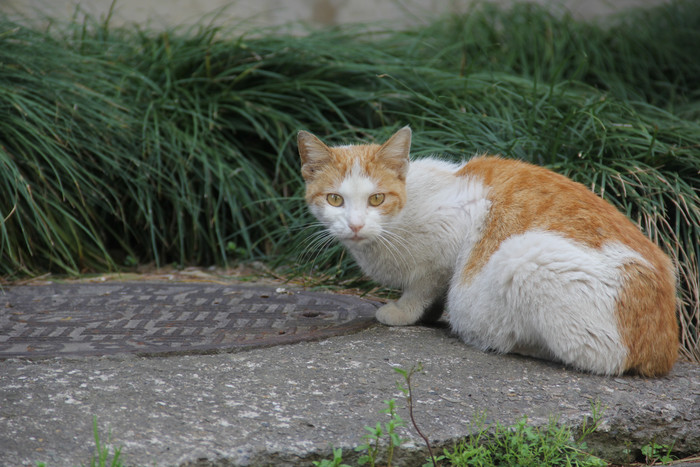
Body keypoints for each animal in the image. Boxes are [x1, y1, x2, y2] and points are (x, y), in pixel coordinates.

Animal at [296, 127, 680, 376]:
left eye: (376, 198)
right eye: (335, 199)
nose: (355, 224)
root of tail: (664, 348)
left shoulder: (453, 234)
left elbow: (424, 285)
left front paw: (404, 311)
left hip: (525, 257)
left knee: (596, 357)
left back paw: (500, 338)